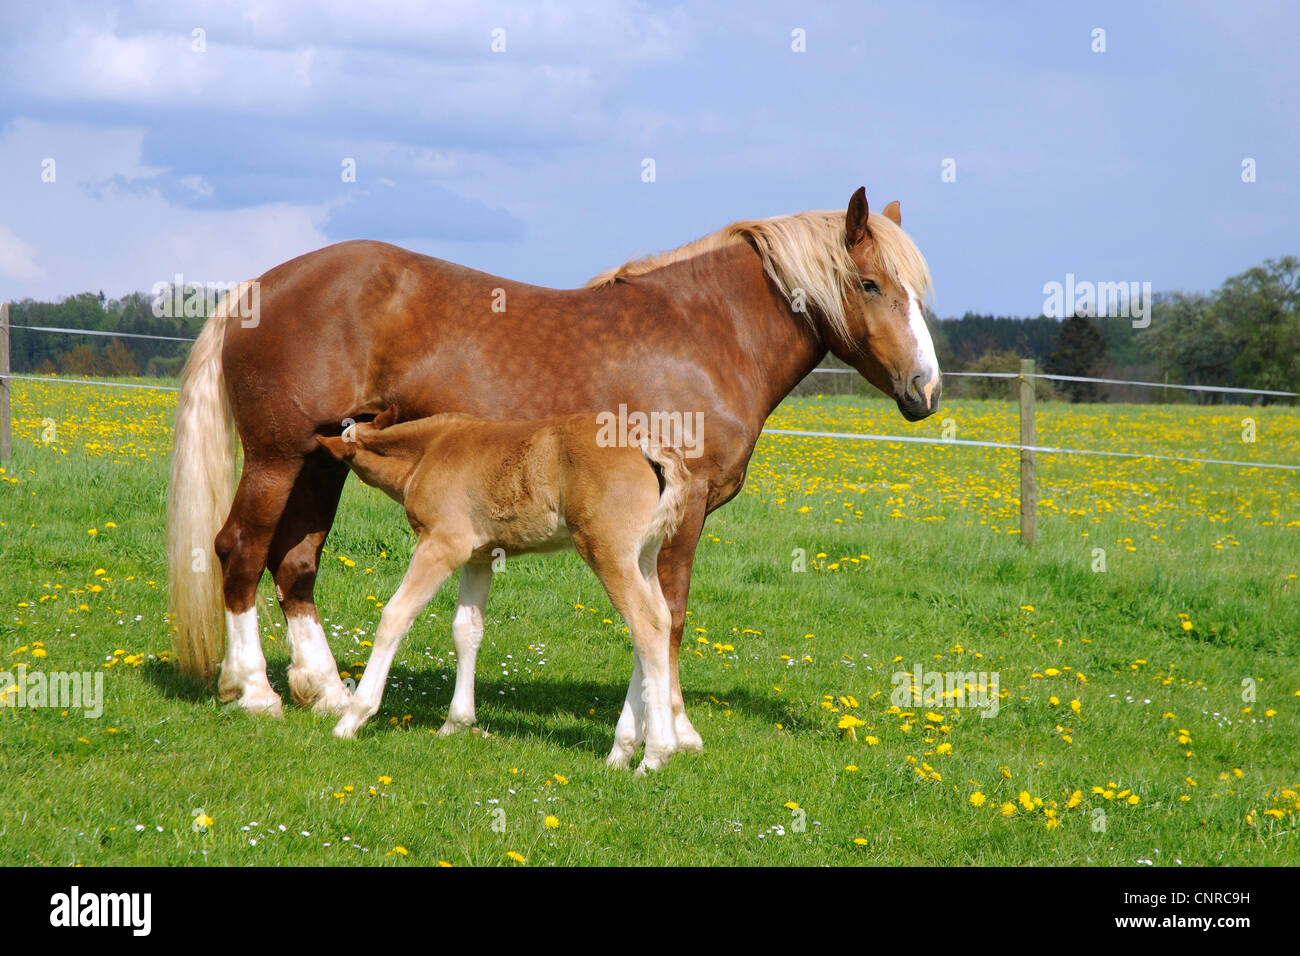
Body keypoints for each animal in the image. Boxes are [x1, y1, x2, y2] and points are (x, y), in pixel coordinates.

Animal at [317, 408, 691, 775]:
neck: (427, 452)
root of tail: (644, 442)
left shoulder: (442, 545)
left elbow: (395, 615)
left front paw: (352, 718)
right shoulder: (479, 557)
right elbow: (466, 629)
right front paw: (455, 724)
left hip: (607, 551)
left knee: (646, 624)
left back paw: (655, 754)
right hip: (644, 555)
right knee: (659, 621)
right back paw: (621, 752)